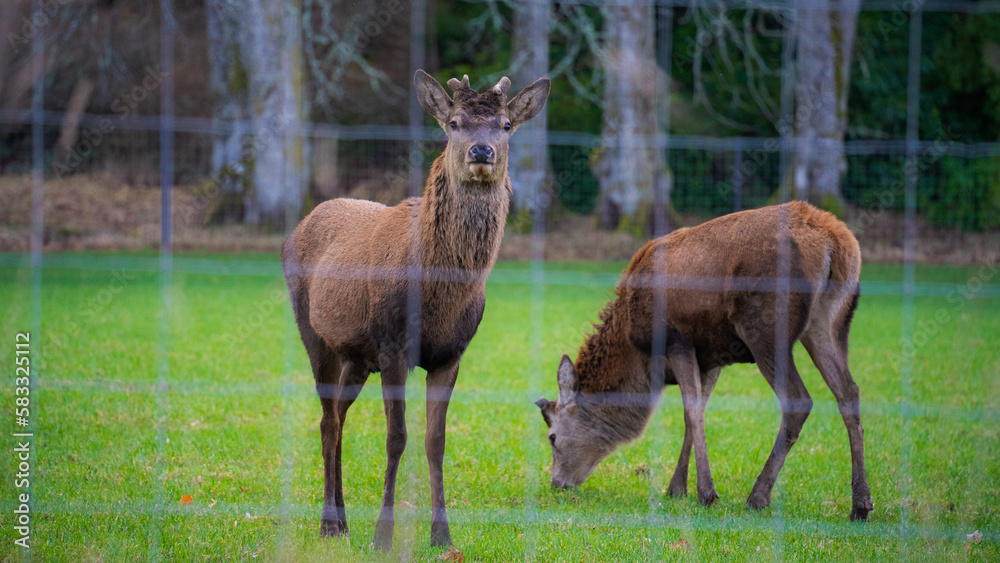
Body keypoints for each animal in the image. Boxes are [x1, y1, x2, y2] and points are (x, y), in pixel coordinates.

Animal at [282, 70, 552, 552]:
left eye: (505, 125)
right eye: (454, 123)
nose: (480, 151)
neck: (441, 295)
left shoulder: (450, 354)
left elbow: (435, 440)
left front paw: (442, 535)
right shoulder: (393, 346)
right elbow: (397, 438)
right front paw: (383, 536)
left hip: (357, 357)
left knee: (338, 418)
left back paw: (343, 519)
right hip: (314, 335)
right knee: (327, 419)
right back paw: (329, 523)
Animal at [536, 202, 872, 520]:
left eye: (552, 437)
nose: (557, 483)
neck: (639, 355)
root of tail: (835, 241)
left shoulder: (677, 340)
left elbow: (693, 410)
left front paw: (706, 492)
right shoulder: (712, 356)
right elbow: (695, 411)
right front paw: (676, 488)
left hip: (764, 327)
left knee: (799, 400)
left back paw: (758, 497)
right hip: (831, 323)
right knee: (849, 392)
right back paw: (860, 504)